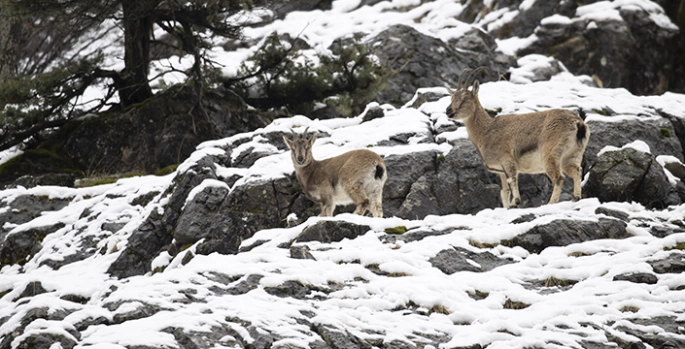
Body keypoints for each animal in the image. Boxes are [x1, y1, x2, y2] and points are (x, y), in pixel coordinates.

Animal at [448, 68, 588, 207]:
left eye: (465, 98)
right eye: (452, 97)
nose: (448, 111)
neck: (486, 131)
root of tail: (578, 123)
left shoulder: (508, 161)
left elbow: (512, 181)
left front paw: (515, 202)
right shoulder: (500, 171)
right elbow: (504, 192)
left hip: (550, 155)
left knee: (559, 178)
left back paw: (551, 202)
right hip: (571, 155)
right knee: (577, 170)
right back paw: (576, 197)